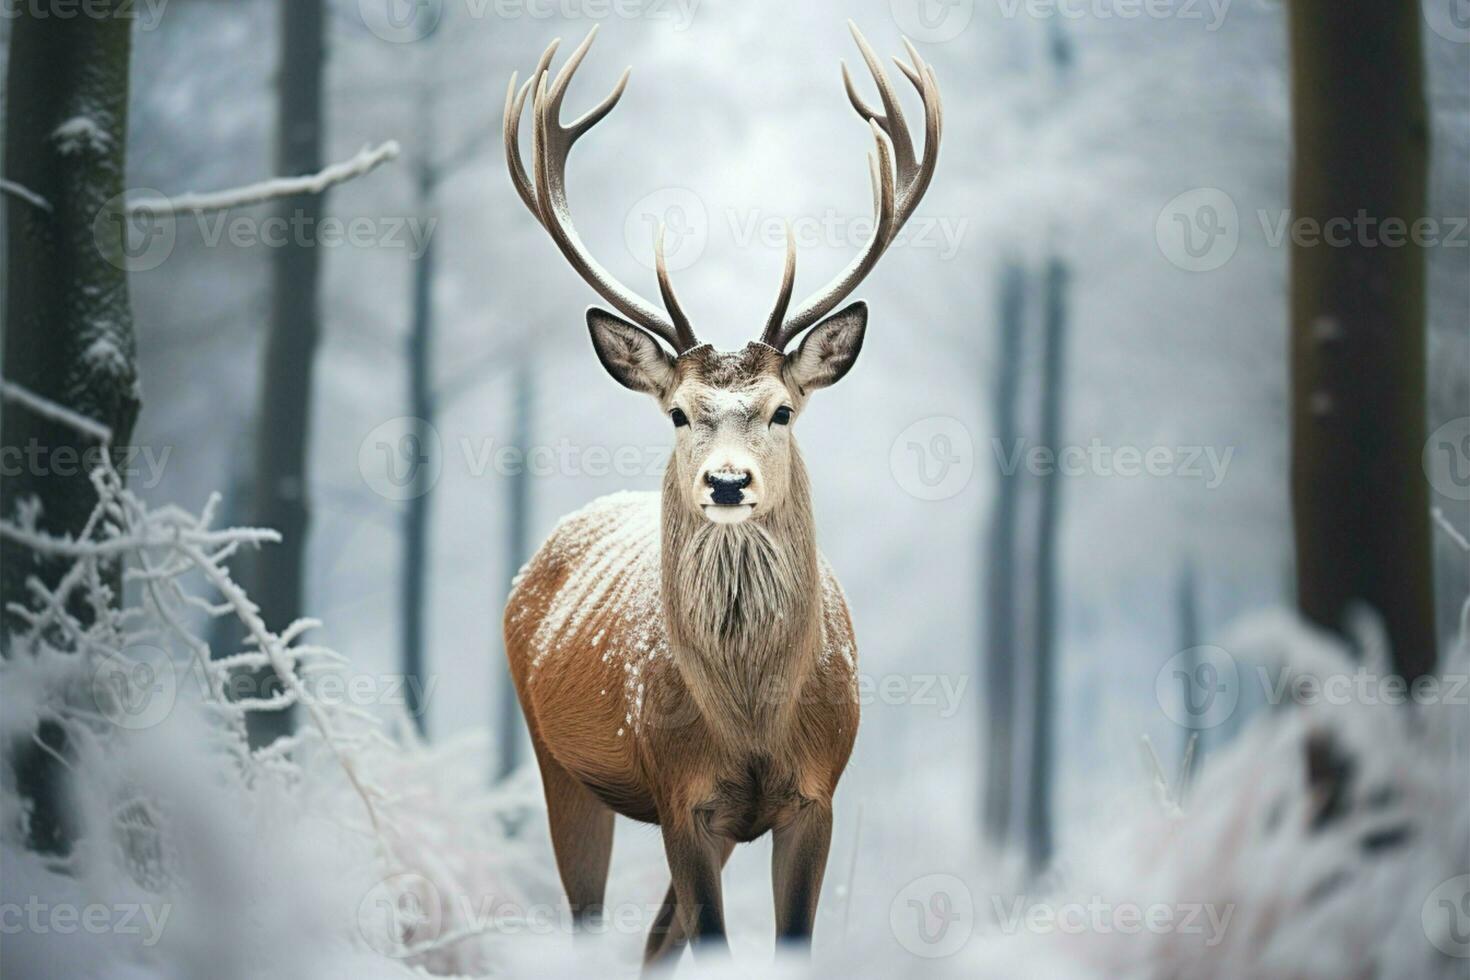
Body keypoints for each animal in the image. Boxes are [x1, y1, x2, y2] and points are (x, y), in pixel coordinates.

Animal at [505, 22, 940, 975]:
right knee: (592, 916)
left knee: (652, 940)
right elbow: (710, 937)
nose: (729, 481)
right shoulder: (679, 794)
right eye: (678, 412)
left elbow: (786, 941)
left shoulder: (816, 795)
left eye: (781, 409)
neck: (749, 724)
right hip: (558, 765)